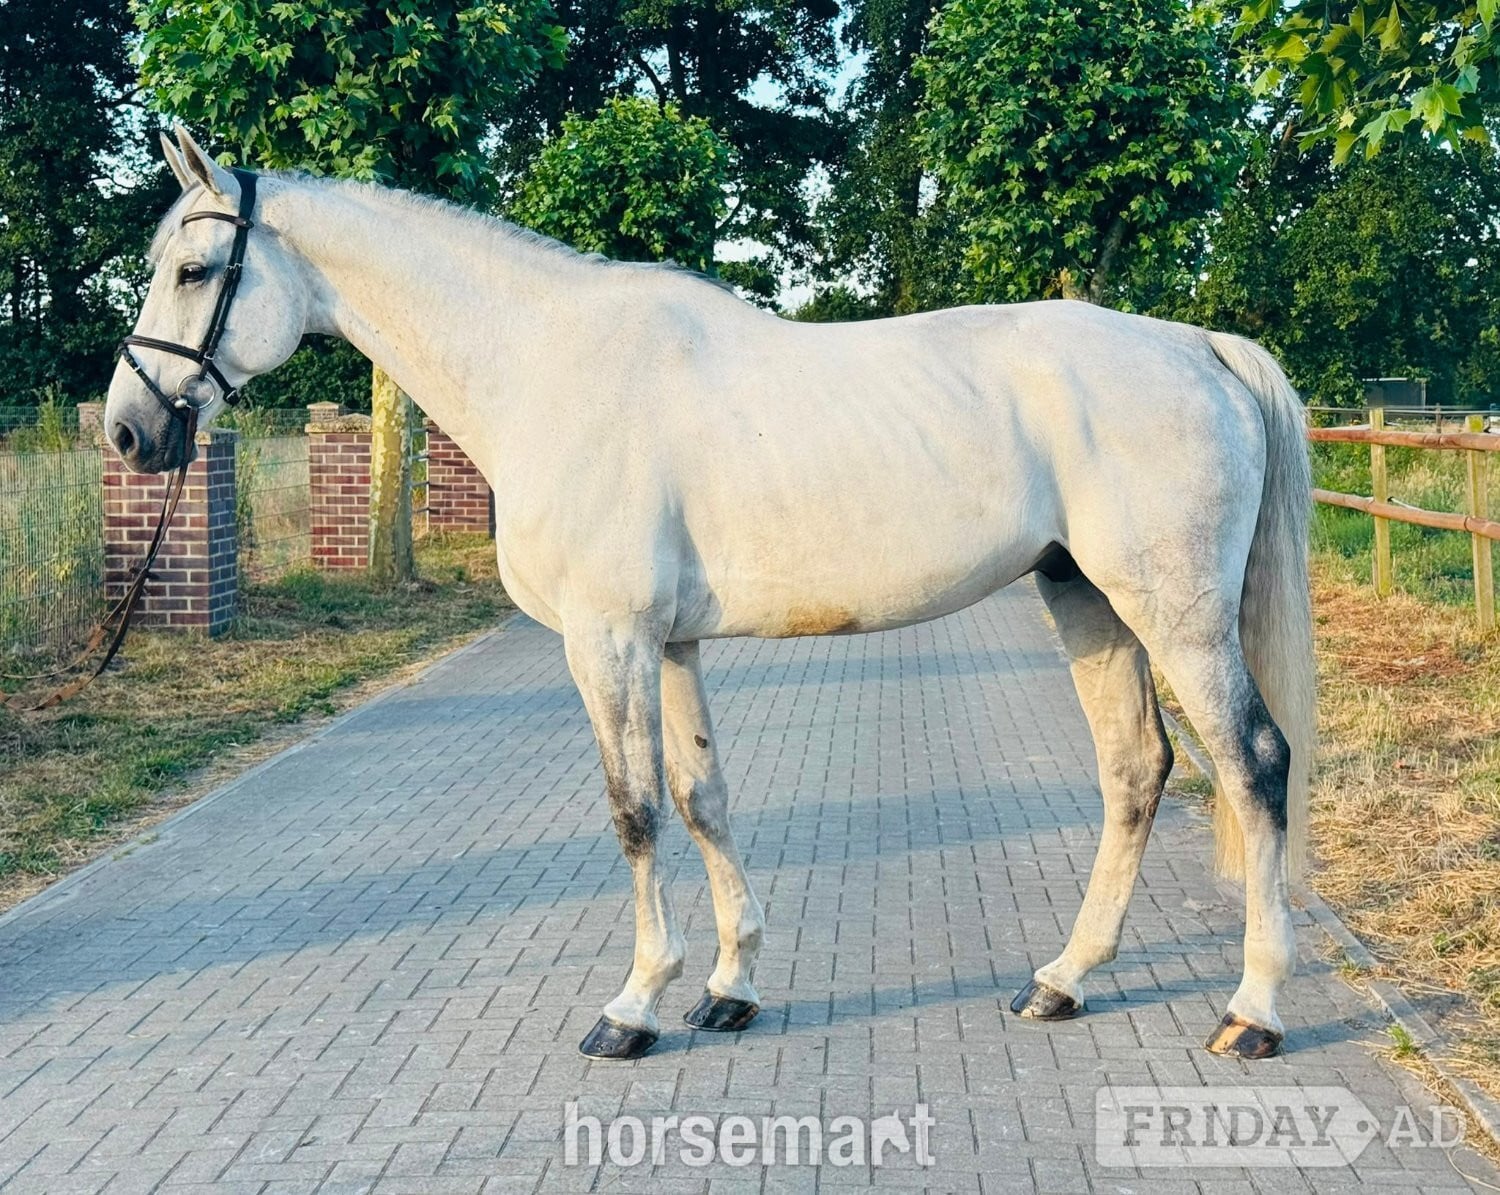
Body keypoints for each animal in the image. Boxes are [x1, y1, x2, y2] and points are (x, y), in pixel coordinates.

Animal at [105, 127, 1316, 1062]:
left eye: (197, 271)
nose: (129, 430)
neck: (547, 368)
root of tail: (1200, 347)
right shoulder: (672, 646)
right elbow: (702, 798)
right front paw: (730, 988)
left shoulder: (608, 641)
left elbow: (634, 810)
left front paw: (634, 1005)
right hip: (1087, 600)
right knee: (1136, 769)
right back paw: (1063, 978)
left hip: (1173, 613)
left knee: (1254, 762)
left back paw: (1252, 1010)